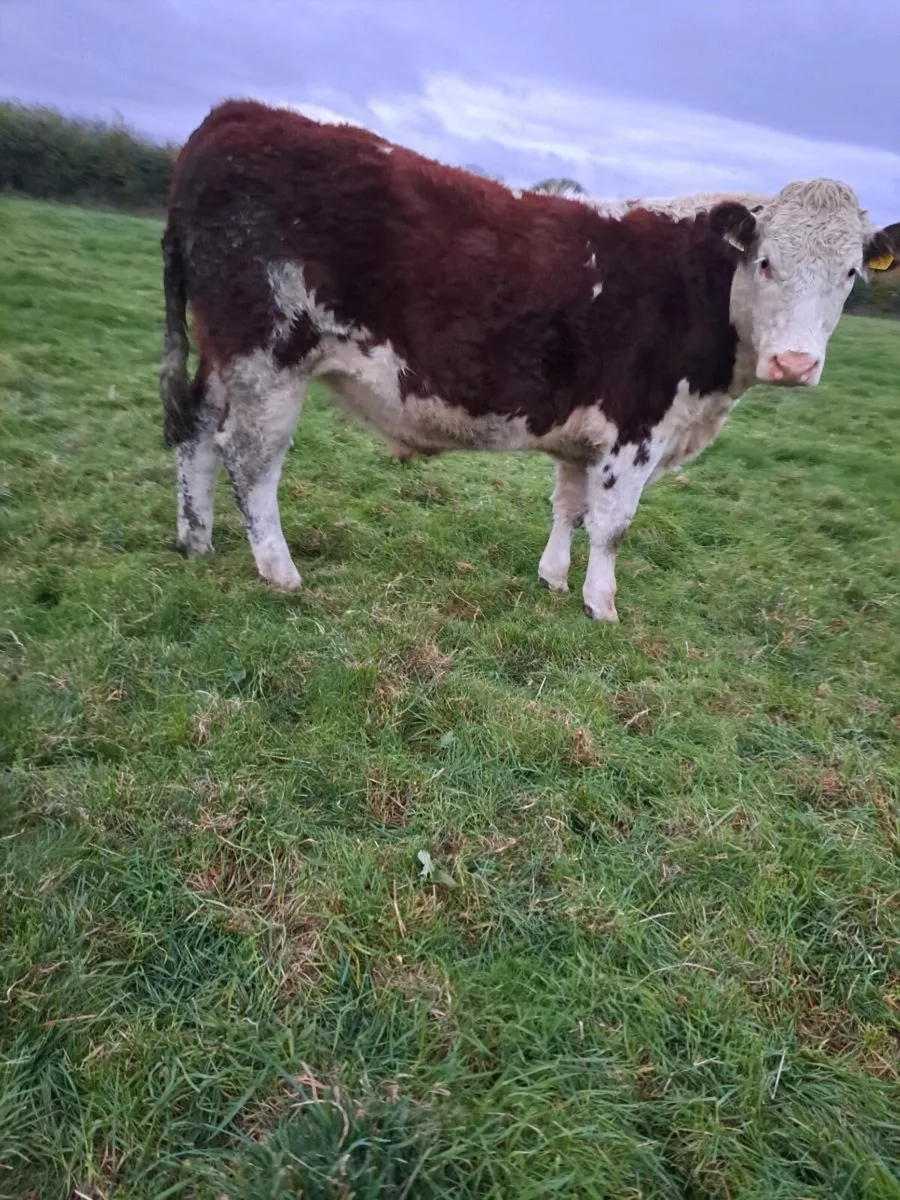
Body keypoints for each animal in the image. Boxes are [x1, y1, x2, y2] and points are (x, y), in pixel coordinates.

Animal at [159, 99, 898, 622]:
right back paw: (279, 572)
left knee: (194, 431)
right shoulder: (638, 426)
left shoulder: (585, 434)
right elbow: (613, 524)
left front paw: (552, 580)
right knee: (250, 457)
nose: (795, 363)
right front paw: (602, 606)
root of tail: (235, 114)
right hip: (267, 355)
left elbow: (568, 505)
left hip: (224, 356)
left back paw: (196, 541)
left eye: (850, 274)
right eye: (766, 262)